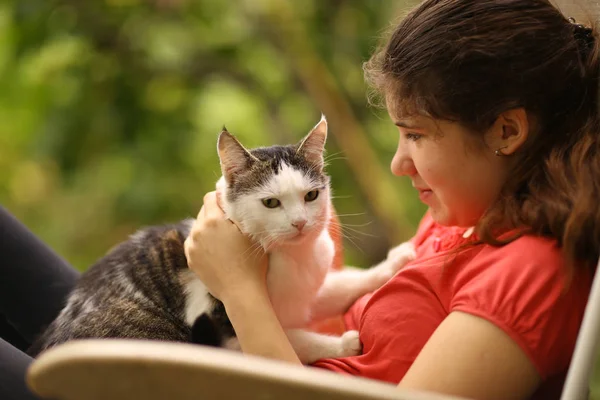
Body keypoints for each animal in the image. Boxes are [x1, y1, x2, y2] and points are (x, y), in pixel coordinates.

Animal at [27, 114, 412, 364]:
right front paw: (341, 345)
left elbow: (341, 286)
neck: (292, 260)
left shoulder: (305, 293)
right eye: (271, 202)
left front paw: (393, 263)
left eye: (311, 196)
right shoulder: (228, 334)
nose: (300, 223)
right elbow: (294, 340)